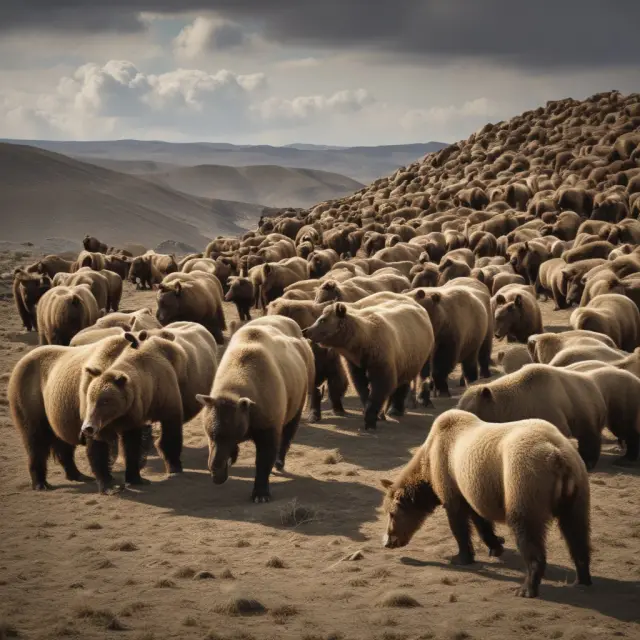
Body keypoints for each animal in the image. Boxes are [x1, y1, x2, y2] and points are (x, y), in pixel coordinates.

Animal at [196, 316, 315, 503]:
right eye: (209, 434)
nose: (216, 472)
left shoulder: (269, 428)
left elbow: (264, 461)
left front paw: (260, 493)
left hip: (297, 403)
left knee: (288, 434)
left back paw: (280, 462)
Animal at [303, 300, 434, 430]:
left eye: (323, 320)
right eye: (320, 318)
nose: (306, 331)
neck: (361, 346)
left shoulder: (381, 360)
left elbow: (380, 387)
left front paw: (371, 419)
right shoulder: (356, 364)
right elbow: (361, 387)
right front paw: (370, 411)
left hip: (415, 355)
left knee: (408, 379)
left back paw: (396, 409)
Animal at [380, 409, 591, 598]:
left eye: (391, 514)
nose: (388, 542)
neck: (427, 465)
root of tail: (557, 455)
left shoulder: (448, 471)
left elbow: (458, 520)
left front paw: (460, 557)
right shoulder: (473, 485)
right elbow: (480, 519)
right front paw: (495, 545)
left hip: (525, 478)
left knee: (526, 526)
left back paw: (526, 588)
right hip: (577, 485)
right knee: (576, 529)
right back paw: (581, 578)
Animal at [457, 363, 607, 469]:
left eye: (471, 412)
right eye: (459, 407)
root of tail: (593, 384)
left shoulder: (547, 407)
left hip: (583, 406)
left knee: (588, 434)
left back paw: (588, 461)